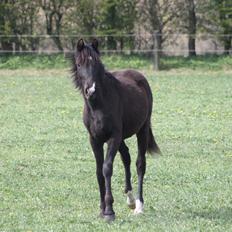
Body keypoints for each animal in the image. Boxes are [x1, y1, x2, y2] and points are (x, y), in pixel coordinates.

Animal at [70, 38, 160, 221]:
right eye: (79, 64)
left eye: (97, 63)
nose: (90, 90)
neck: (98, 105)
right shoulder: (94, 139)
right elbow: (99, 172)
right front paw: (102, 209)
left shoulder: (113, 137)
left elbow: (107, 168)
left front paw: (109, 211)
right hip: (122, 137)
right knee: (126, 157)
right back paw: (130, 200)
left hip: (142, 130)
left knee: (140, 163)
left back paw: (139, 205)